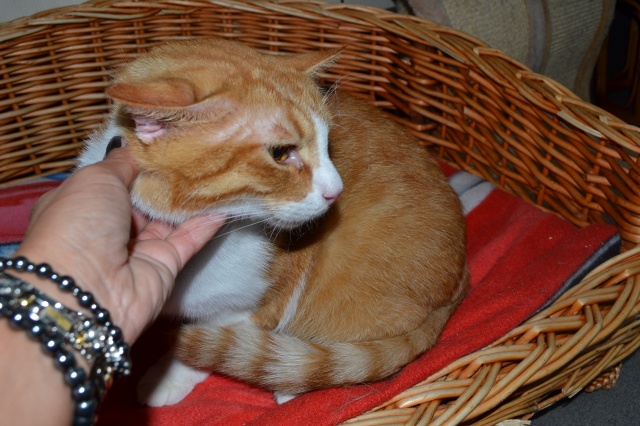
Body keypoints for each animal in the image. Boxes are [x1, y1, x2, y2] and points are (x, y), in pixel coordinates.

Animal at [77, 38, 469, 406]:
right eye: (281, 154)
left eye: (329, 144)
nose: (337, 191)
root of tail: (460, 278)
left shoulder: (250, 310)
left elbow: (205, 346)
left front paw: (169, 376)